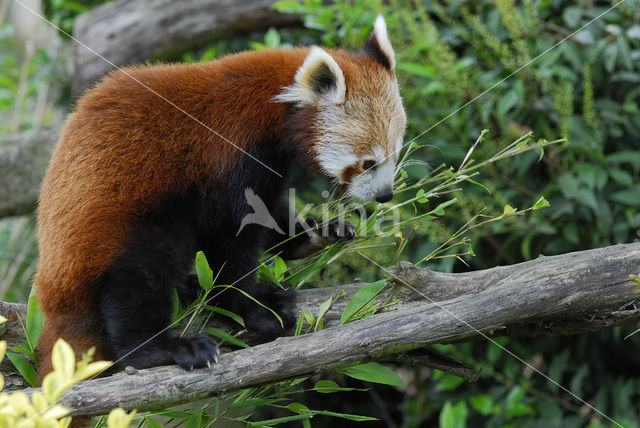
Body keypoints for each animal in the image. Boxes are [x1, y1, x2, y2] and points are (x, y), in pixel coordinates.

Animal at [33, 15, 404, 380]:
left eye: (395, 152)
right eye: (367, 162)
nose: (384, 195)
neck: (272, 104)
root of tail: (55, 297)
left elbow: (269, 210)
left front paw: (315, 232)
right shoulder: (231, 154)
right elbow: (231, 240)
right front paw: (249, 306)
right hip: (116, 226)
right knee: (140, 276)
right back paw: (163, 348)